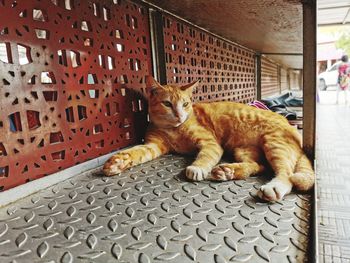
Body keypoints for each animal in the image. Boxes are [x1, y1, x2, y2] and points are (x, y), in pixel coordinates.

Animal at [103, 76, 314, 202]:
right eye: (167, 104)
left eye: (185, 104)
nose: (179, 115)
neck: (173, 129)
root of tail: (290, 126)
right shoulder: (153, 145)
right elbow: (136, 152)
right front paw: (118, 162)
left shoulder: (210, 143)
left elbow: (205, 157)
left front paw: (197, 168)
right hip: (244, 150)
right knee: (258, 166)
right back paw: (228, 171)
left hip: (274, 144)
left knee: (286, 174)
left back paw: (274, 187)